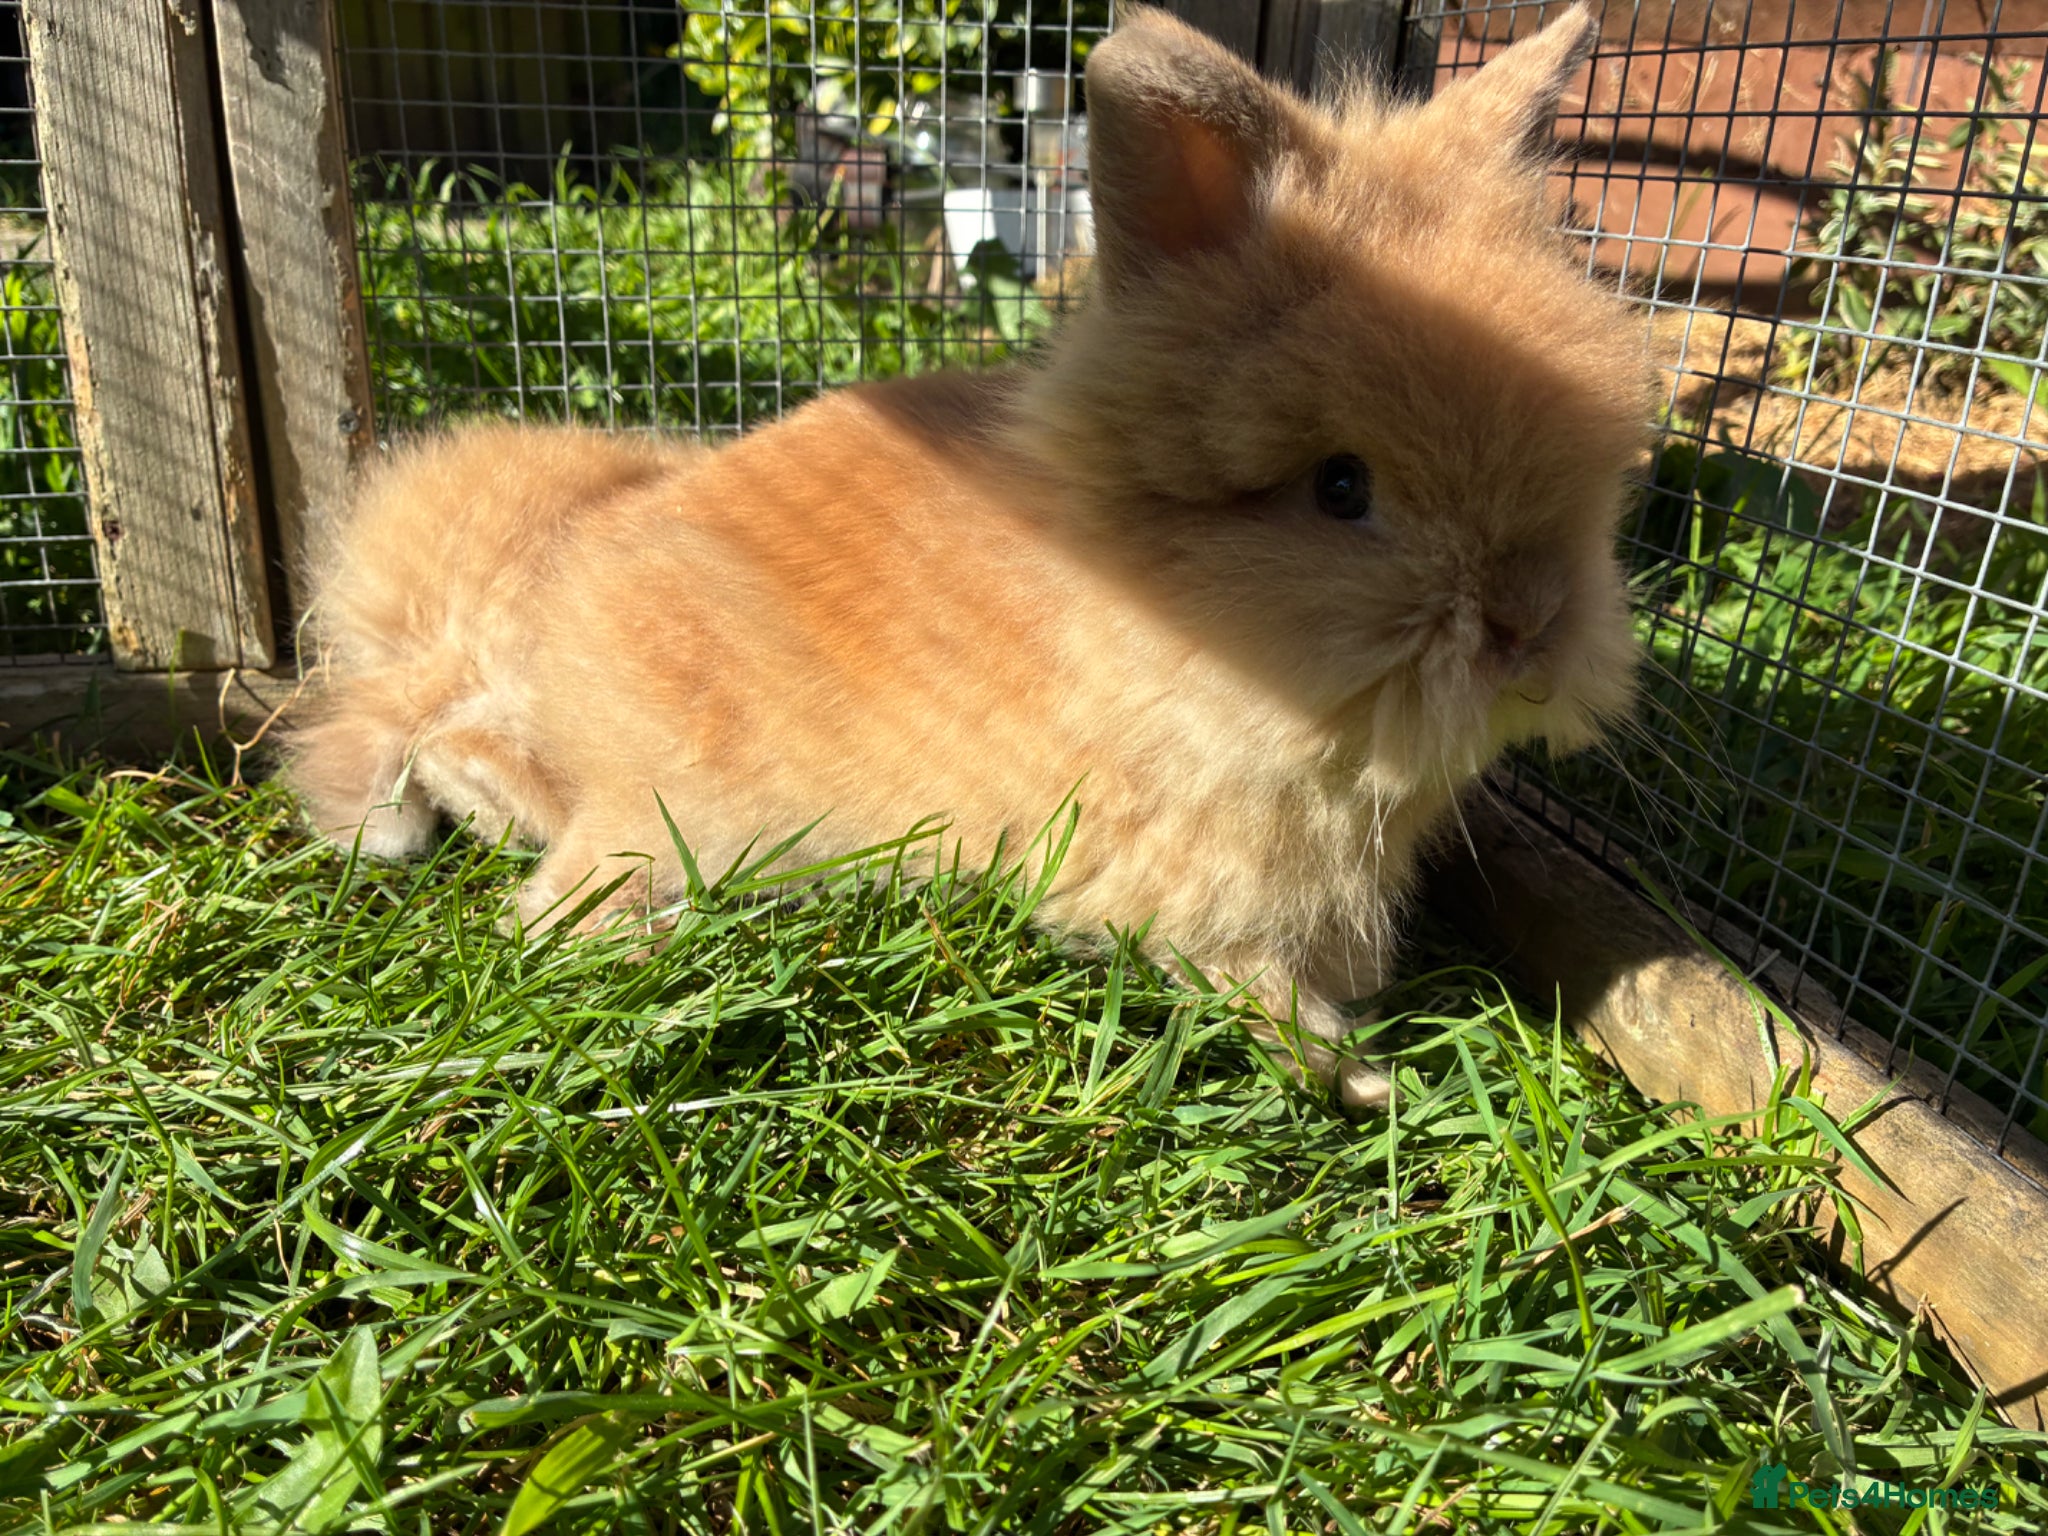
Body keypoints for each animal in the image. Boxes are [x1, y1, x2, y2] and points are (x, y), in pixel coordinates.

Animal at [285, 3, 1647, 1111]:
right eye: (1341, 487)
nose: (1526, 628)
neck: (1154, 630)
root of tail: (556, 568)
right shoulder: (1190, 886)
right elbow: (1249, 979)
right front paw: (1357, 1078)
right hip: (691, 802)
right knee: (540, 883)